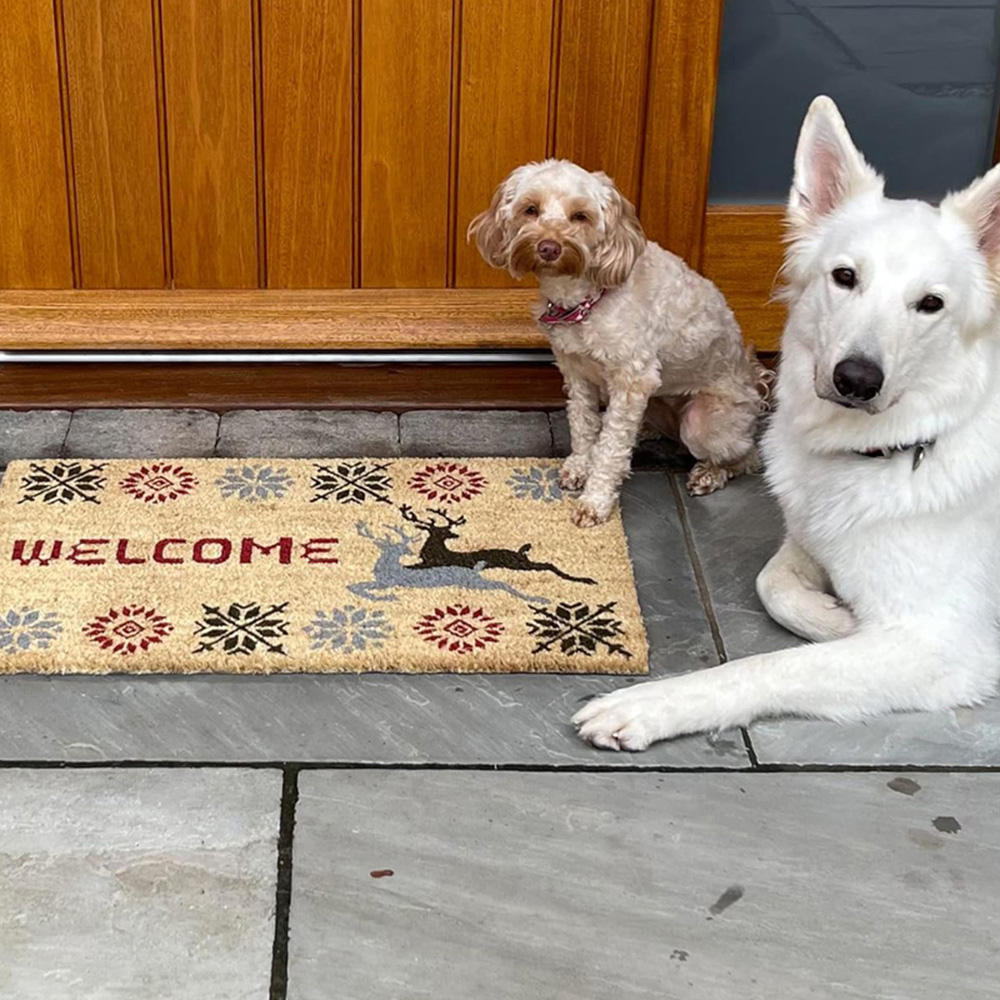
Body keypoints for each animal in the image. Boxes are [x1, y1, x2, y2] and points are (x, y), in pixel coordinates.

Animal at [347, 521, 550, 603]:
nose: (409, 551)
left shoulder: (387, 582)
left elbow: (357, 588)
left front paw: (386, 597)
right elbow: (354, 586)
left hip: (476, 582)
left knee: (502, 585)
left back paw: (540, 599)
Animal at [398, 505, 596, 585]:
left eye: (445, 531)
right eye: (440, 531)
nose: (455, 534)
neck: (435, 550)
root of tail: (519, 552)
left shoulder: (434, 563)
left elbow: (410, 567)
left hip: (519, 564)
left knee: (548, 565)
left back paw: (585, 580)